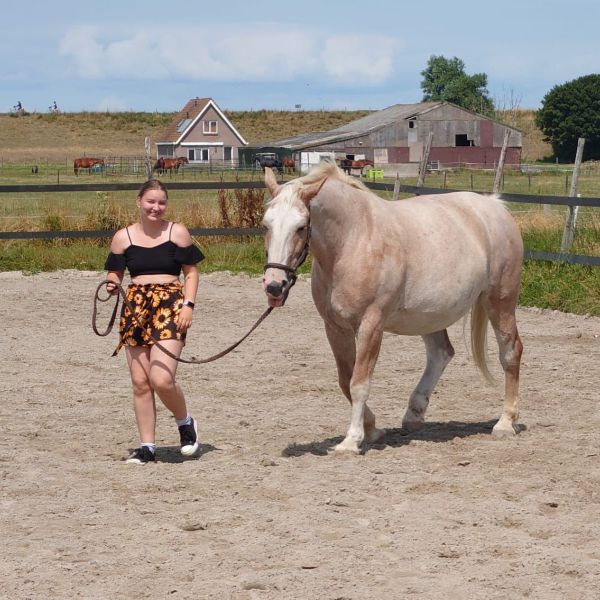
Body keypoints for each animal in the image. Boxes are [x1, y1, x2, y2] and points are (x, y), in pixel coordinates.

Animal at [260, 162, 524, 452]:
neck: (353, 240)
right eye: (266, 224)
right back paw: (414, 416)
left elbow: (359, 383)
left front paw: (351, 441)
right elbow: (345, 380)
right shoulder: (335, 328)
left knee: (510, 352)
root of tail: (495, 206)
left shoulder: (371, 326)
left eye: (300, 226)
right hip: (430, 315)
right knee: (441, 353)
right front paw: (373, 430)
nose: (274, 285)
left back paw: (505, 423)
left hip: (500, 301)